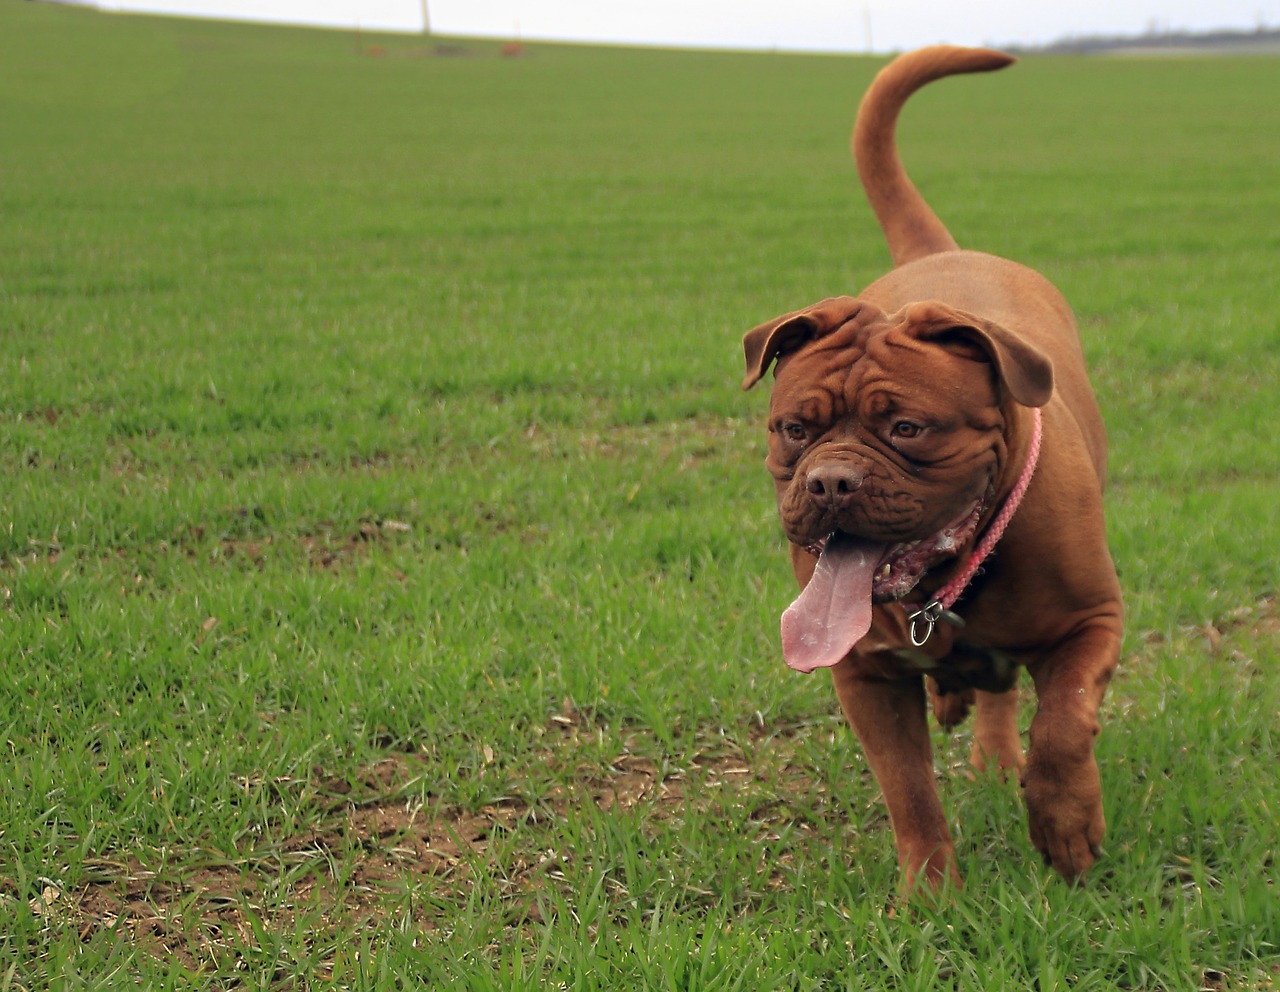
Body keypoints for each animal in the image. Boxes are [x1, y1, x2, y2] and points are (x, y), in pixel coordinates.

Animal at [742, 46, 1121, 896]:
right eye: (795, 430)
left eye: (907, 429)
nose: (830, 480)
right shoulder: (865, 674)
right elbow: (907, 787)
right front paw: (929, 896)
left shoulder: (1093, 622)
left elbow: (1063, 723)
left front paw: (1065, 826)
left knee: (1011, 697)